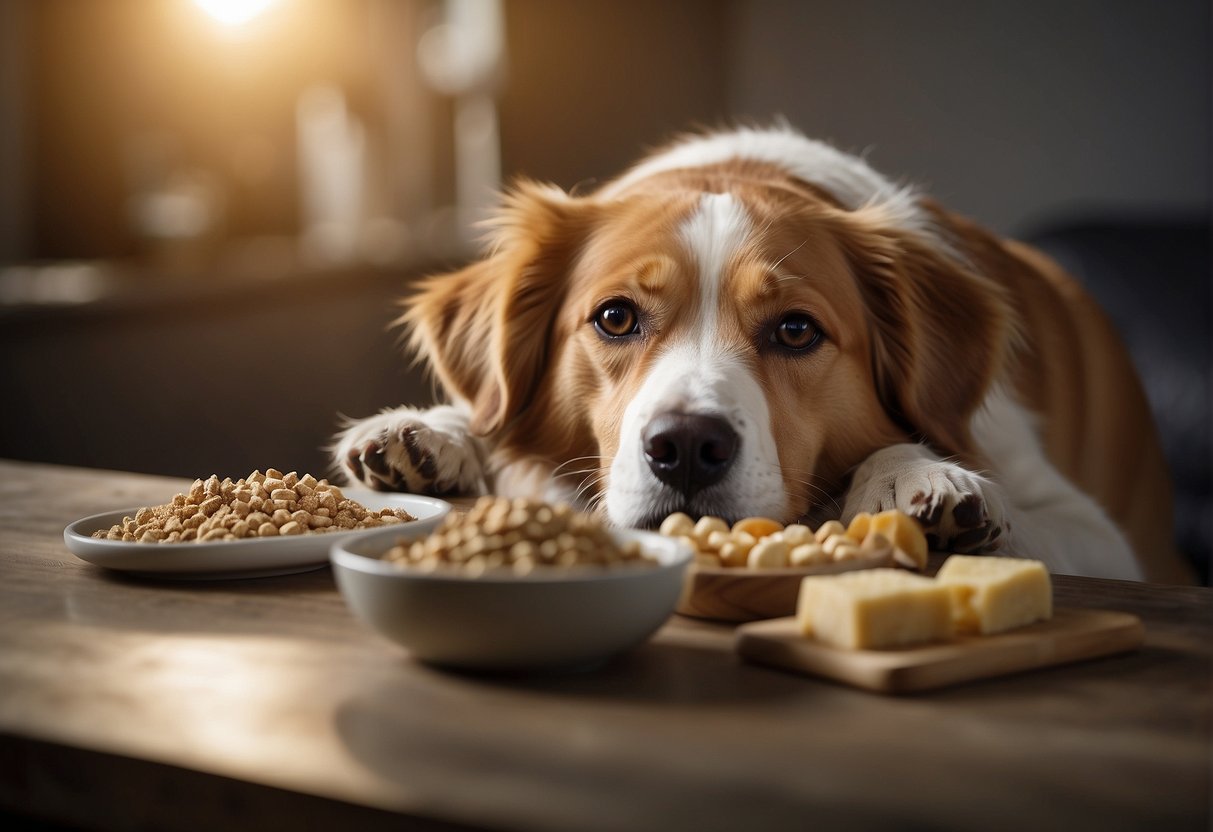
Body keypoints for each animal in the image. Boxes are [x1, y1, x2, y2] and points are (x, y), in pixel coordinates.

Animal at [332, 125, 1193, 587]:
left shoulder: (1103, 538)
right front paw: (434, 433)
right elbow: (490, 419)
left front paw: (914, 476)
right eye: (615, 317)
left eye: (796, 332)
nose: (683, 448)